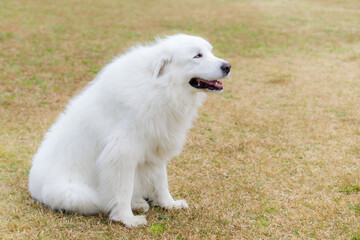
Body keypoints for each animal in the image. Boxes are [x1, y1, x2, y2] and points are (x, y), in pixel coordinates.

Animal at [27, 33, 231, 227]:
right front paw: (127, 219)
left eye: (210, 51)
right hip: (75, 193)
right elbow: (123, 190)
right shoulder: (122, 154)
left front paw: (169, 204)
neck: (159, 86)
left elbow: (161, 181)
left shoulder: (156, 148)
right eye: (197, 56)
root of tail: (33, 186)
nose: (228, 66)